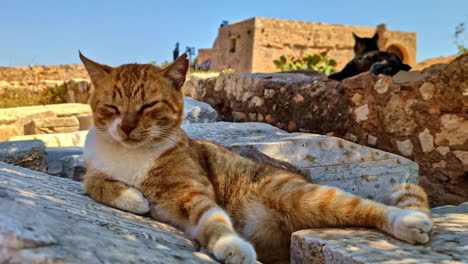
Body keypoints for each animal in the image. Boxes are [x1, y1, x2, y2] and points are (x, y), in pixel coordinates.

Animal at [79, 52, 432, 264]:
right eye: (112, 107)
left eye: (148, 106)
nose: (125, 127)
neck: (131, 154)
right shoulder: (92, 169)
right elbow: (94, 183)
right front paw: (134, 198)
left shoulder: (191, 193)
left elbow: (214, 218)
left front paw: (231, 246)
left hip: (301, 196)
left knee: (367, 208)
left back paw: (408, 222)